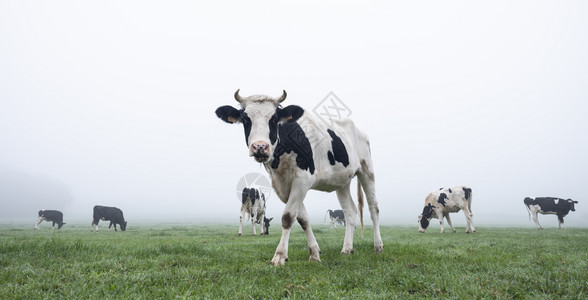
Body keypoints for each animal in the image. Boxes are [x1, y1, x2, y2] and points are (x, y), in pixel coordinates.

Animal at [216, 89, 382, 264]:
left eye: (274, 119)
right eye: (246, 119)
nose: (260, 147)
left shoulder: (302, 180)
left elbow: (288, 217)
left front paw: (280, 256)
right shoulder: (283, 186)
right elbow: (303, 219)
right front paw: (314, 253)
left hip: (367, 170)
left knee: (373, 208)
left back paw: (378, 246)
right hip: (342, 181)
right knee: (350, 211)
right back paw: (347, 249)